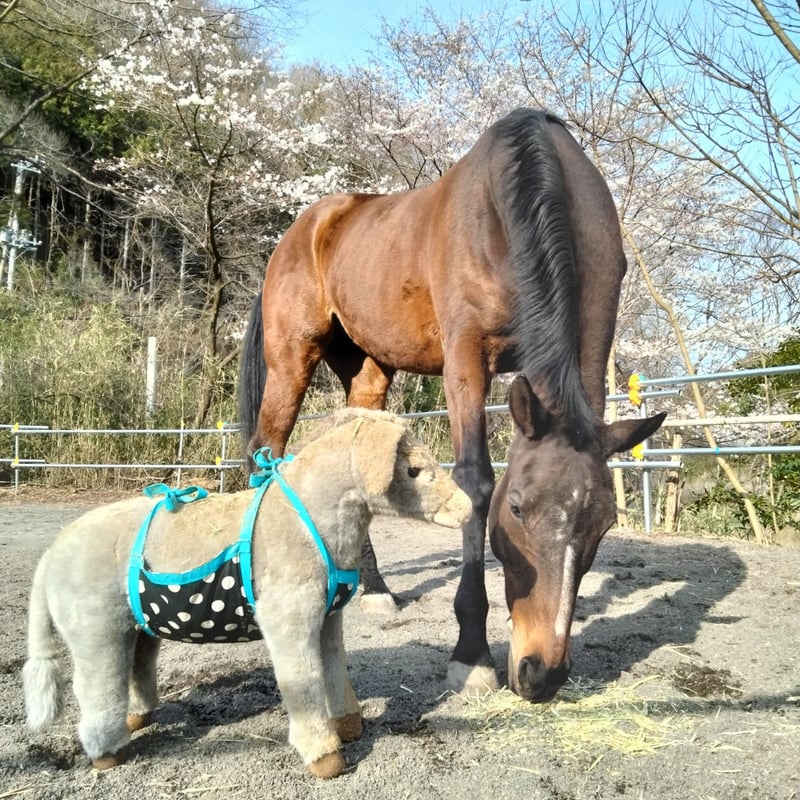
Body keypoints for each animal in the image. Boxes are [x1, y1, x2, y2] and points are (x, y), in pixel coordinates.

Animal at [23, 410, 471, 778]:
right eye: (413, 469)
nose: (466, 509)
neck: (311, 525)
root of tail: (49, 557)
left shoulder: (328, 616)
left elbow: (335, 666)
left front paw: (351, 728)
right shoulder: (286, 615)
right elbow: (303, 680)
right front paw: (327, 761)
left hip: (138, 626)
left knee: (136, 666)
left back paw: (138, 721)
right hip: (94, 627)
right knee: (95, 685)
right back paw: (109, 755)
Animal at [237, 108, 665, 701]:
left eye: (603, 525)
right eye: (517, 509)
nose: (542, 673)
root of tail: (305, 227)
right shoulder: (466, 357)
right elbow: (475, 482)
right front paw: (472, 654)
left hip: (367, 368)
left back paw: (373, 589)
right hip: (290, 360)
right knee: (265, 452)